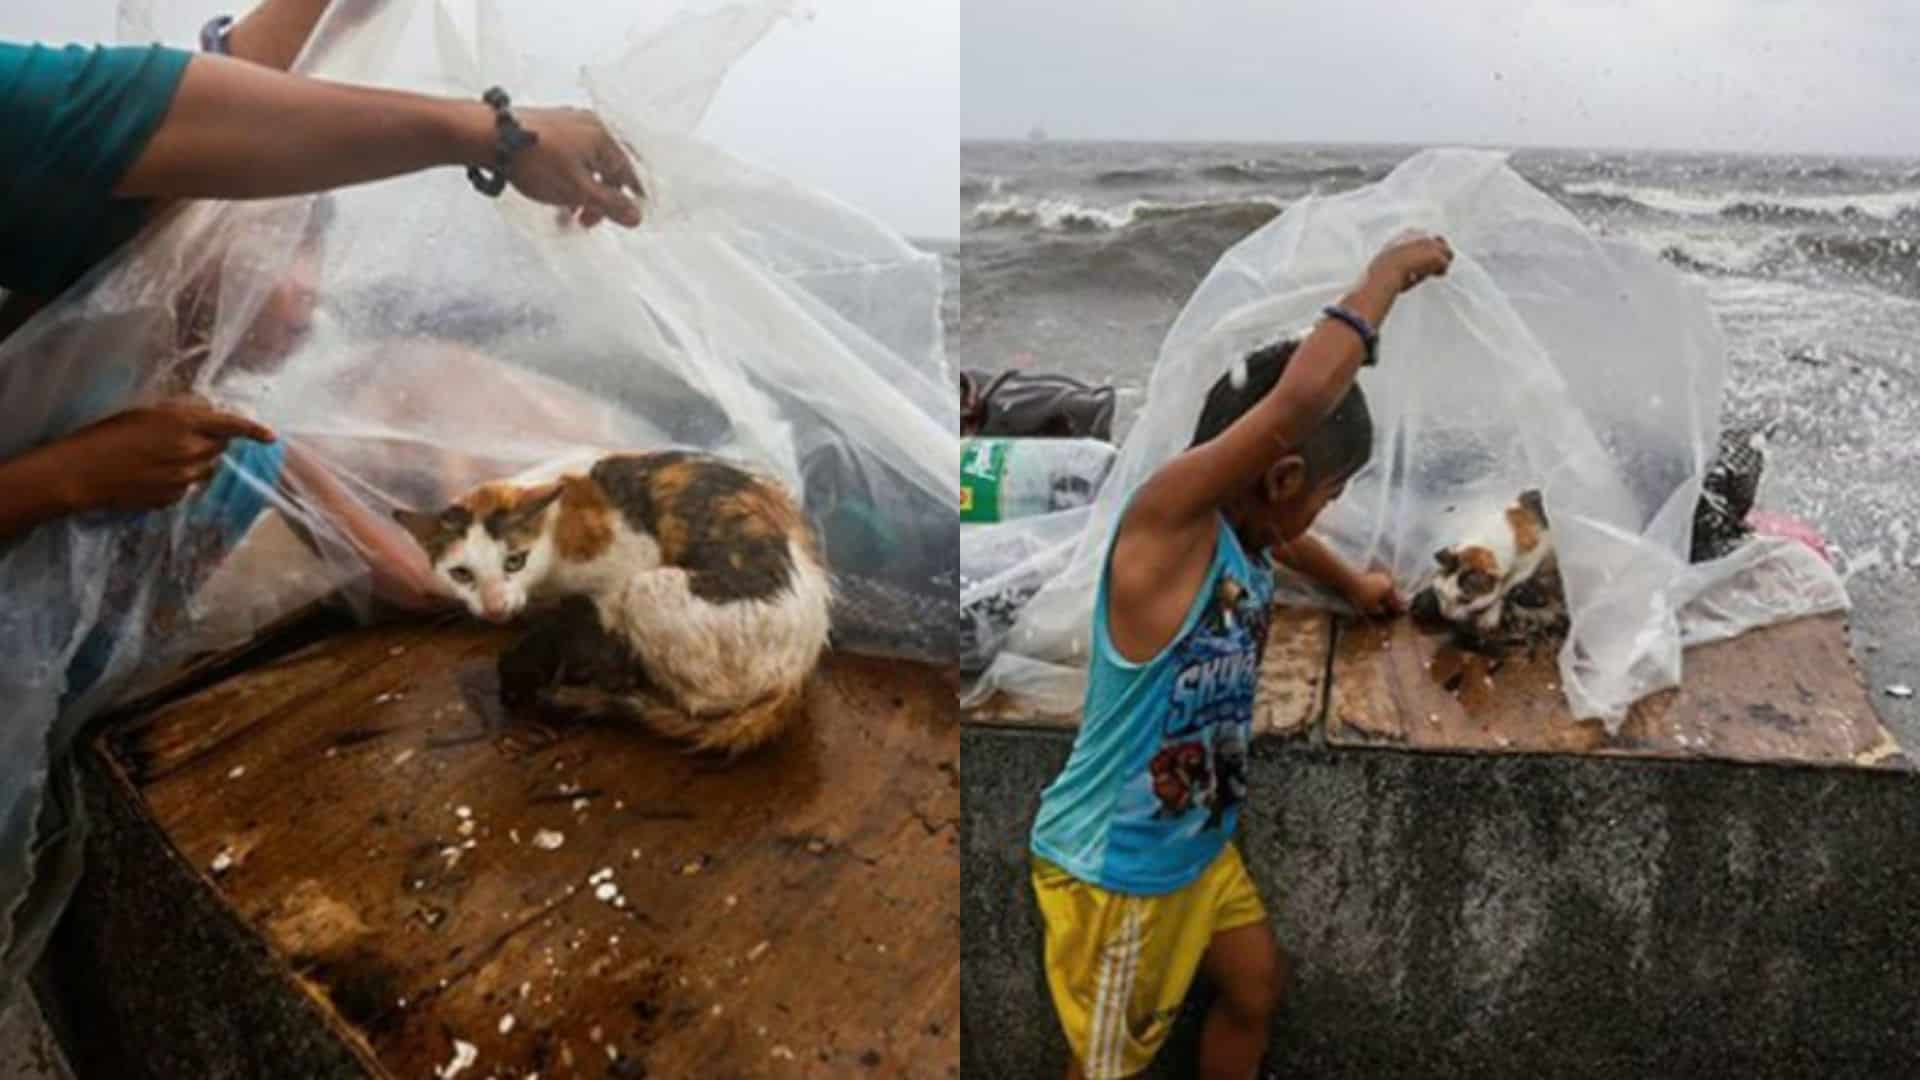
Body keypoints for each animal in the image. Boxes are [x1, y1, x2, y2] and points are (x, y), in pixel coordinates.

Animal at [393, 445, 829, 749]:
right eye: (461, 574)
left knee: (700, 702)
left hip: (650, 589)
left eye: (514, 561)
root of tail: (797, 676)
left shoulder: (628, 566)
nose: (495, 607)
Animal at [1405, 486, 1566, 653]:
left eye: (1466, 600)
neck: (1487, 544)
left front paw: (1489, 615)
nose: (1446, 615)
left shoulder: (1530, 562)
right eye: (1440, 592)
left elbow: (1504, 589)